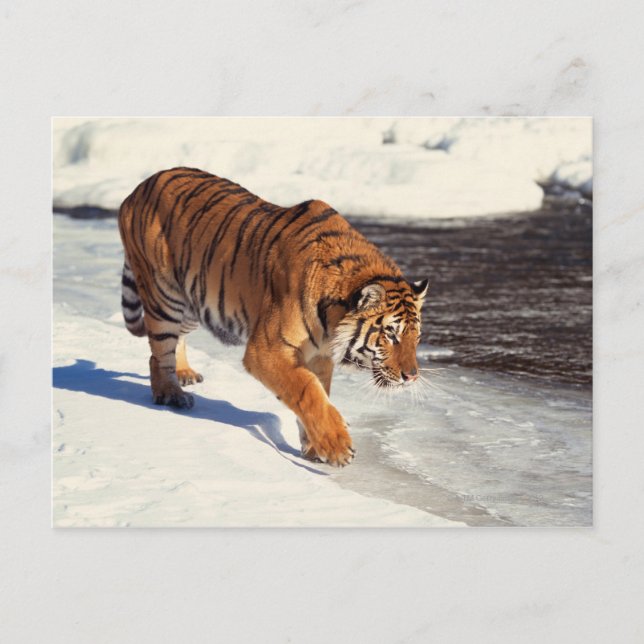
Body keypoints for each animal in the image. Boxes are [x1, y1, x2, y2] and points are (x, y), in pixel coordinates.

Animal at [118, 167, 428, 467]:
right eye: (391, 334)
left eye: (416, 338)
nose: (412, 376)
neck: (331, 322)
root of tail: (137, 190)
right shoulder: (266, 349)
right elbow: (307, 390)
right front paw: (337, 447)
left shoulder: (319, 356)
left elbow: (320, 392)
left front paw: (315, 449)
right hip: (164, 297)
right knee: (158, 353)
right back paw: (170, 393)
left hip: (194, 299)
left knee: (177, 340)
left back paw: (184, 374)